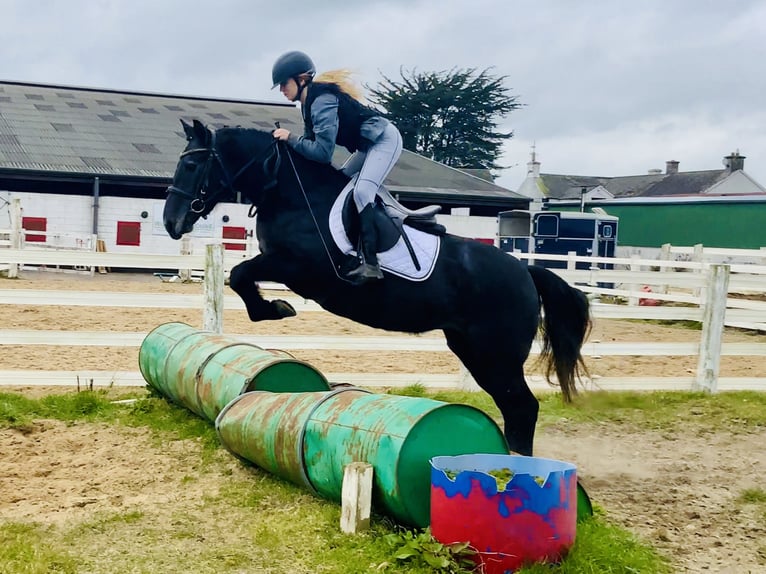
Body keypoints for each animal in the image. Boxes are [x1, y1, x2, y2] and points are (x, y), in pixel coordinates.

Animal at [165, 119, 592, 456]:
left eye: (191, 164)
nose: (171, 222)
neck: (294, 196)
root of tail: (525, 271)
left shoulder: (298, 267)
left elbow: (239, 274)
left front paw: (275, 309)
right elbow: (240, 276)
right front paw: (272, 309)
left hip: (496, 354)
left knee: (523, 408)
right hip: (473, 350)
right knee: (514, 408)